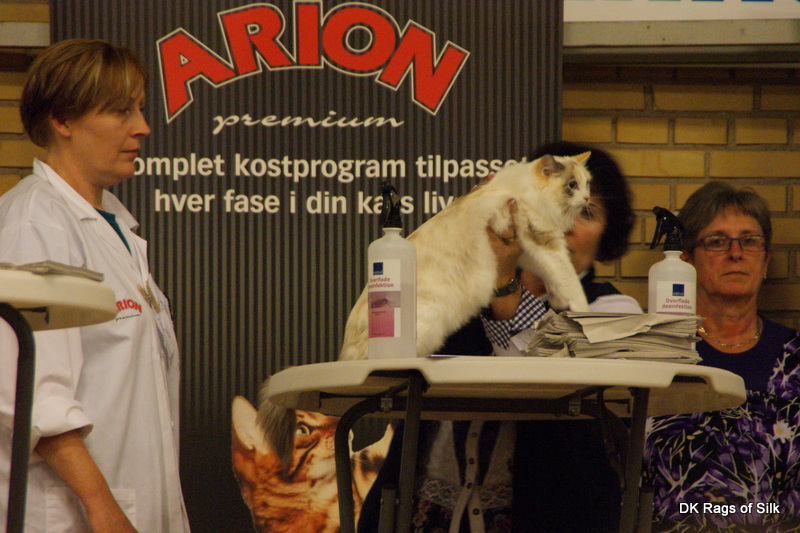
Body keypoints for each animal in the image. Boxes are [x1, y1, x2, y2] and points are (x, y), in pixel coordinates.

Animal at [339, 152, 592, 361]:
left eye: (587, 184)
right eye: (572, 185)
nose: (588, 199)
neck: (527, 190)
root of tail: (346, 351)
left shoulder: (530, 250)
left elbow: (553, 278)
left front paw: (558, 301)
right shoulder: (543, 241)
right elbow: (569, 280)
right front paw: (583, 314)